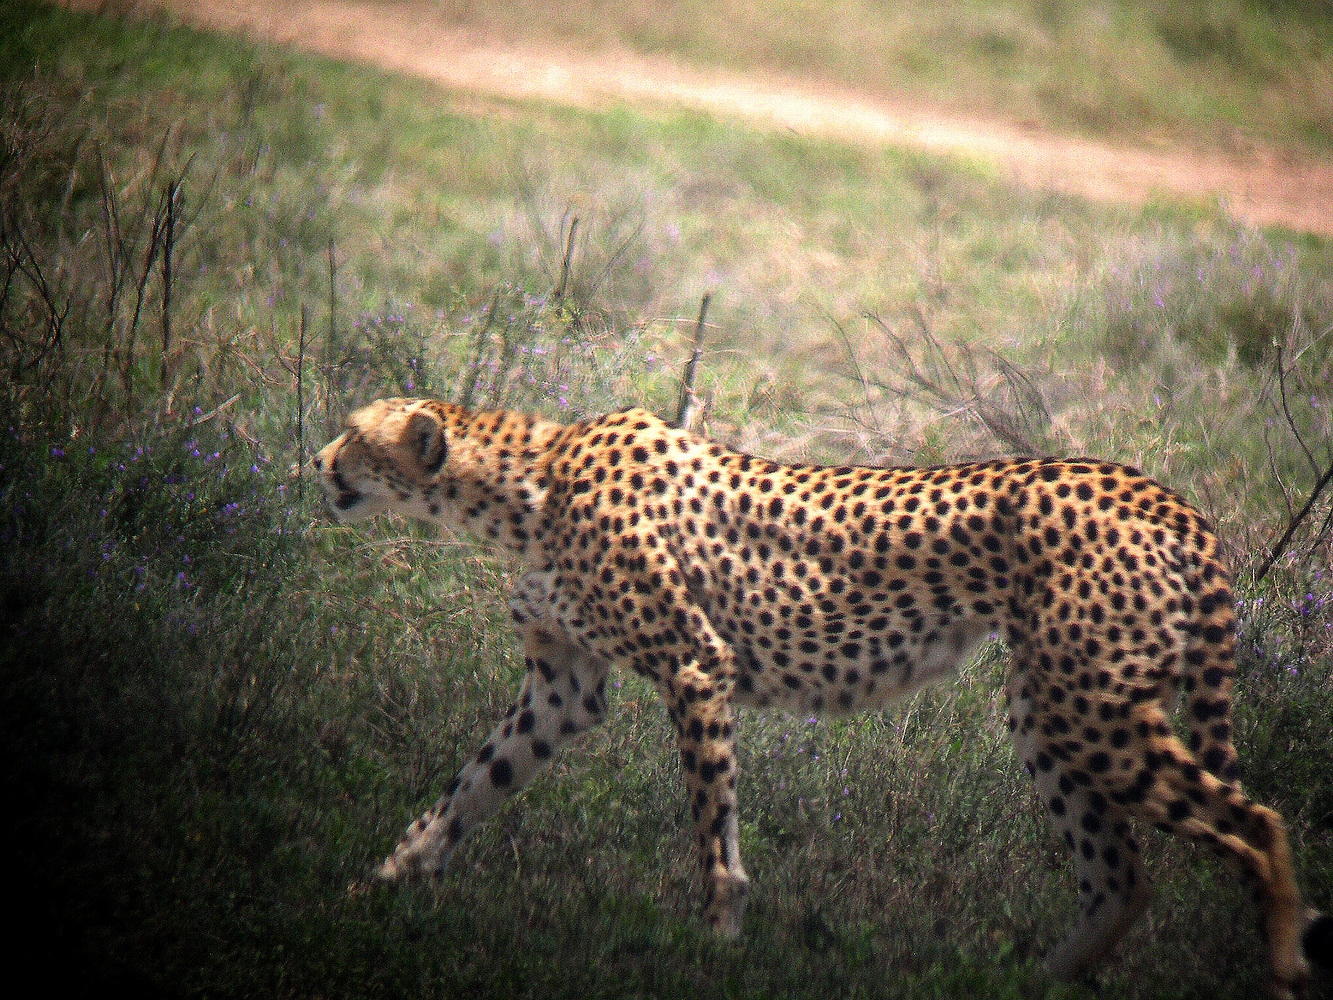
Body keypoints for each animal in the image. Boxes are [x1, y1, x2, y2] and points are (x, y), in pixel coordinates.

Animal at [313, 396, 1331, 996]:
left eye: (356, 437)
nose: (317, 461)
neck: (525, 484)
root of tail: (1163, 495)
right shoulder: (563, 685)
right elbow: (465, 791)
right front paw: (376, 889)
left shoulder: (695, 666)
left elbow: (713, 833)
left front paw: (713, 946)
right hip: (1050, 710)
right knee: (1120, 876)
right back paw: (1029, 983)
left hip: (1090, 707)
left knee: (1254, 822)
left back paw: (1283, 960)